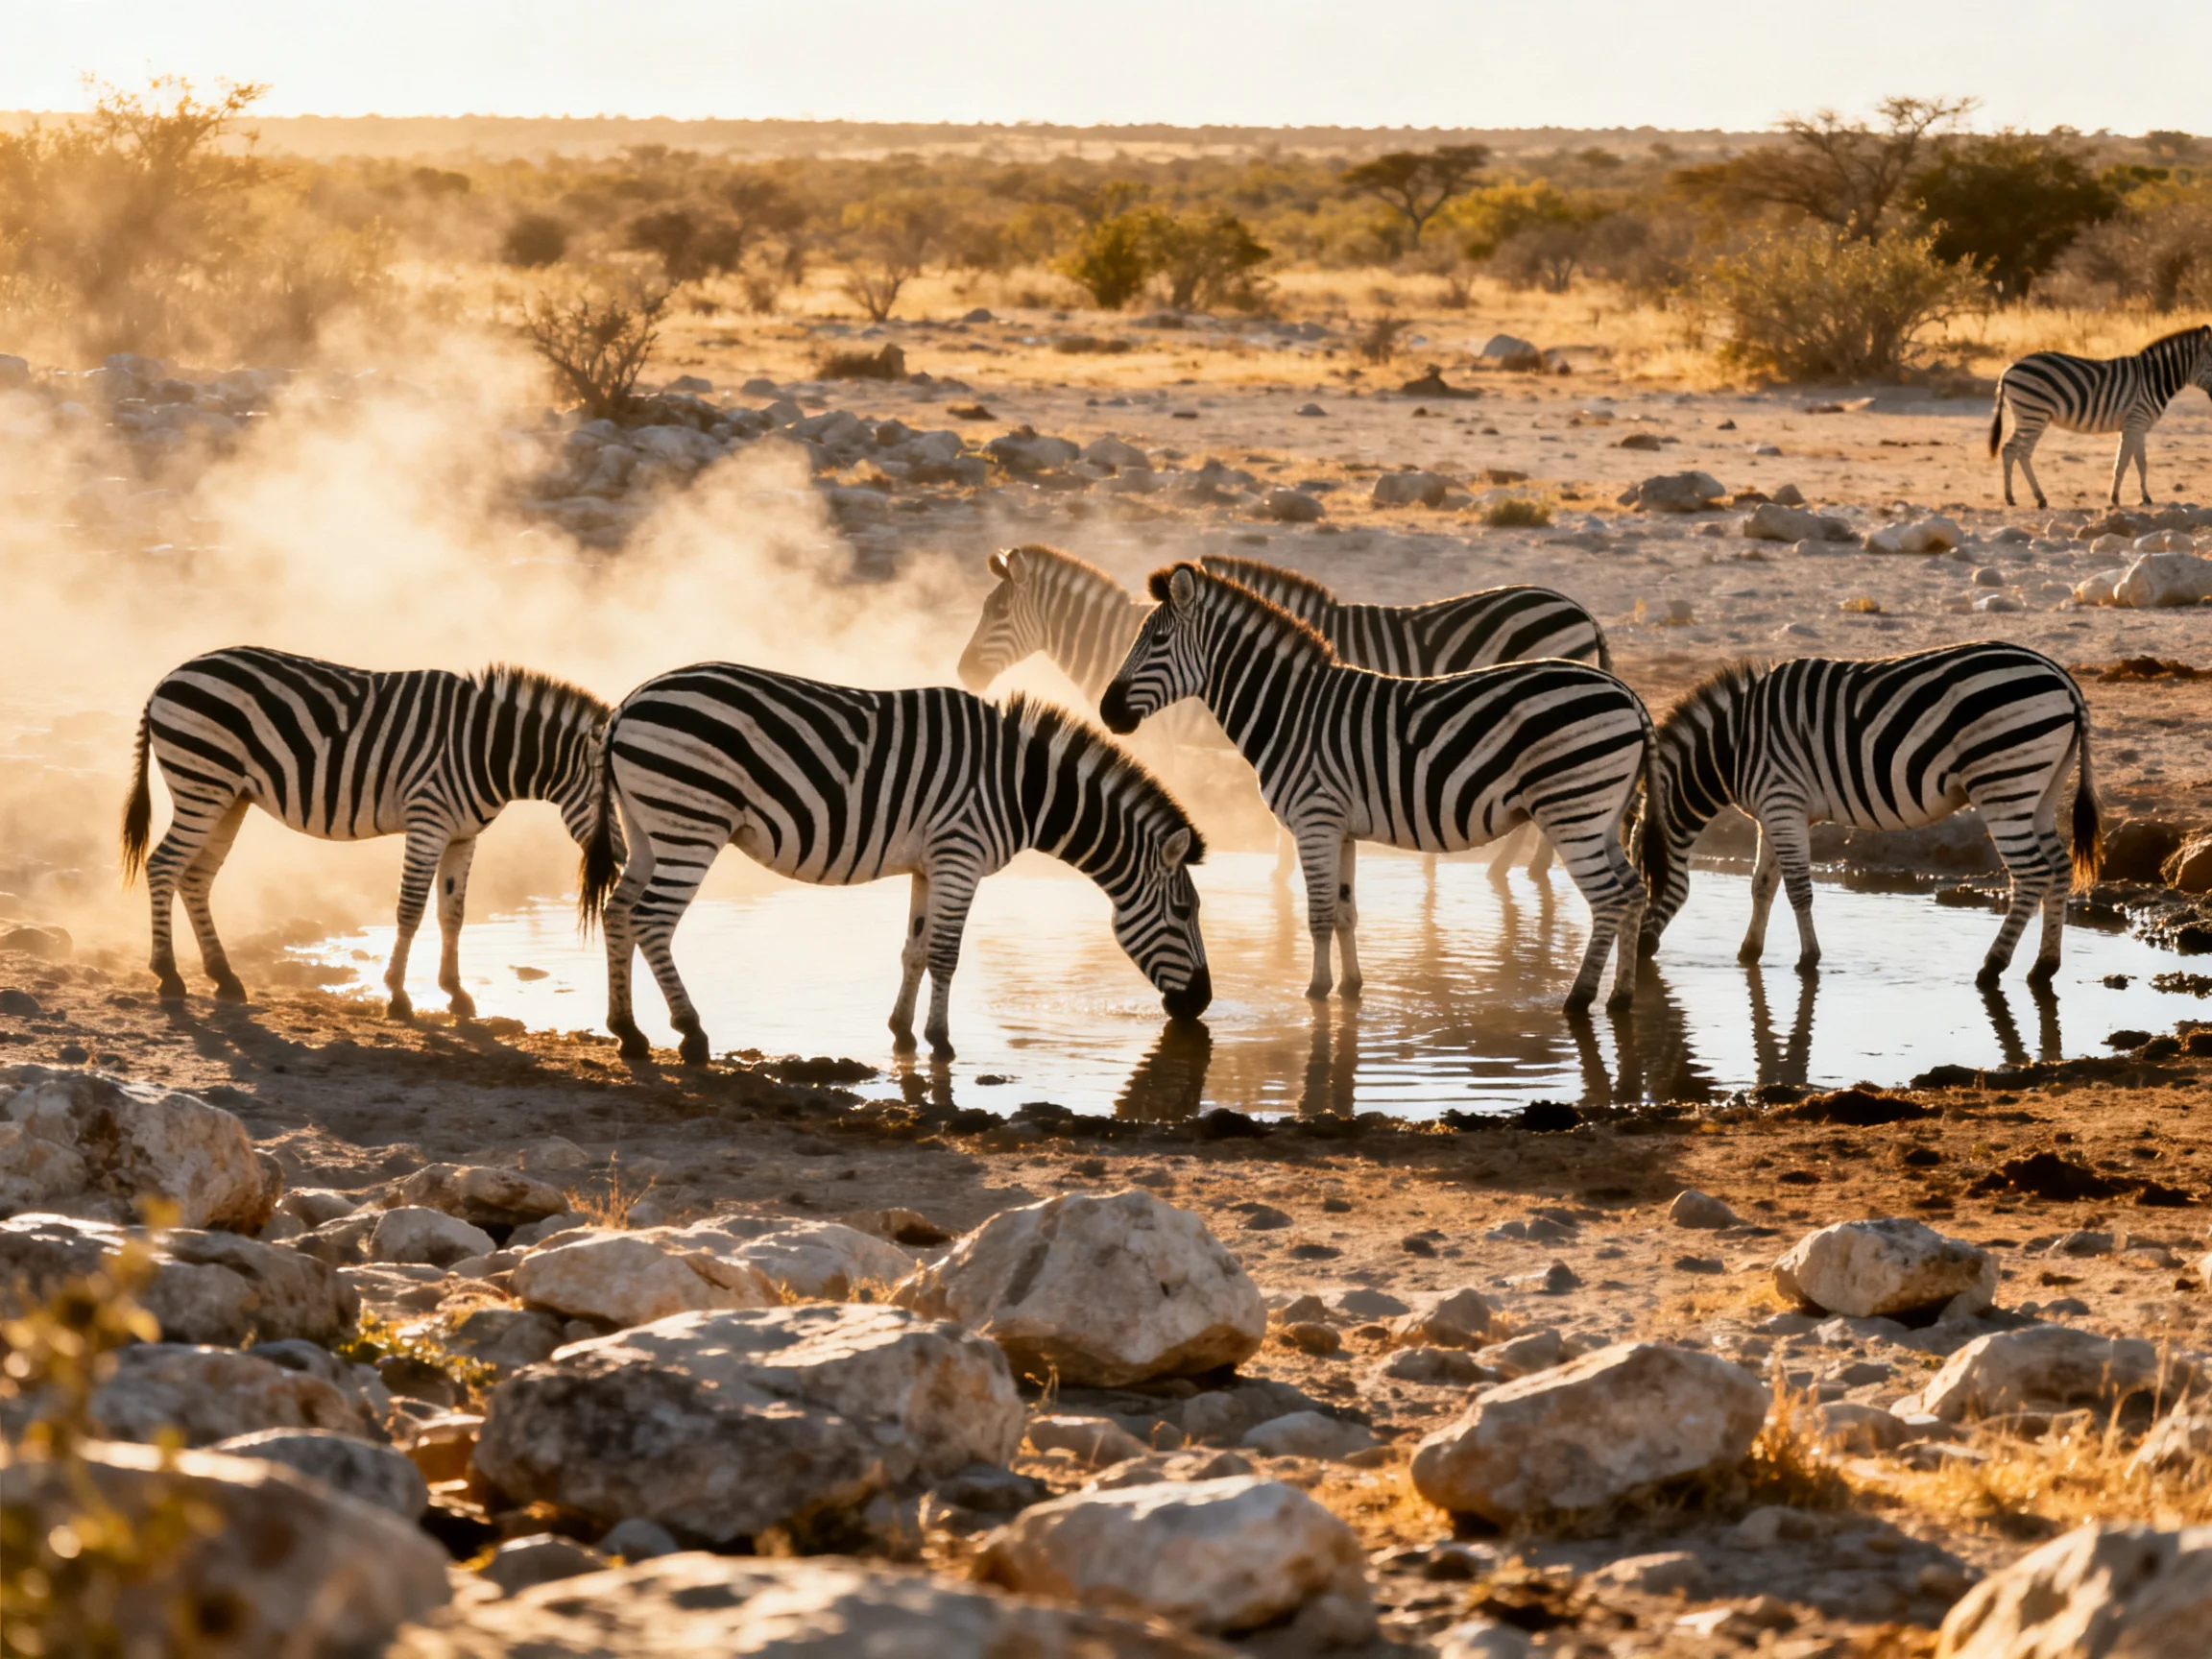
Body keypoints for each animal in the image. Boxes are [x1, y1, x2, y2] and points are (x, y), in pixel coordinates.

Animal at [121, 647, 610, 1017]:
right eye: (609, 806)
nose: (613, 870)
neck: (488, 747)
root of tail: (168, 678)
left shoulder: (462, 835)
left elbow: (452, 913)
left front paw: (455, 993)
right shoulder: (428, 819)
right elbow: (410, 909)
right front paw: (398, 995)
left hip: (228, 797)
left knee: (195, 877)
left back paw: (224, 978)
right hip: (201, 783)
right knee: (163, 866)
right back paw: (168, 974)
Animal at [577, 667, 1210, 1064]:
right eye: (1184, 912)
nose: (1202, 1003)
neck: (1023, 788)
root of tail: (628, 704)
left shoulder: (931, 864)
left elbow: (915, 949)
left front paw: (902, 1034)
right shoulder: (960, 854)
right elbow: (946, 955)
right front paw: (941, 1041)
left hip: (648, 826)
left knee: (619, 913)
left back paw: (628, 1032)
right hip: (692, 822)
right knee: (652, 920)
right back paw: (691, 1033)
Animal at [1099, 563, 1661, 1011]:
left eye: (1156, 642)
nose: (1106, 712)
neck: (1291, 711)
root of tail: (1628, 695)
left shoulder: (1315, 819)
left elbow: (1319, 915)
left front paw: (1314, 994)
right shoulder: (1341, 827)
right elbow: (1346, 912)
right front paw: (1350, 990)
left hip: (1571, 810)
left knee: (1609, 899)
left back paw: (1579, 999)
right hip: (1600, 815)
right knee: (1633, 892)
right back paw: (1621, 997)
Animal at [1640, 643, 2102, 985]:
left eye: (1642, 878)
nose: (1642, 946)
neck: (1735, 748)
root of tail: (2062, 678)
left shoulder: (1783, 801)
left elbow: (1798, 889)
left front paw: (1808, 960)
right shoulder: (1772, 813)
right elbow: (1762, 885)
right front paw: (1749, 953)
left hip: (2003, 783)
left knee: (2032, 875)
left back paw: (1992, 968)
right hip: (2040, 789)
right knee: (2059, 869)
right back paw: (2044, 967)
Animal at [1990, 325, 2212, 508]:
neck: (2154, 378)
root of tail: (2008, 369)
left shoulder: (2132, 426)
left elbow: (2123, 462)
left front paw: (2116, 497)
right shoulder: (2137, 421)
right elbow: (2138, 462)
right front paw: (2144, 498)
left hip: (2028, 414)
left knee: (2011, 450)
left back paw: (2011, 497)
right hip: (2033, 413)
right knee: (2019, 451)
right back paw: (2039, 498)